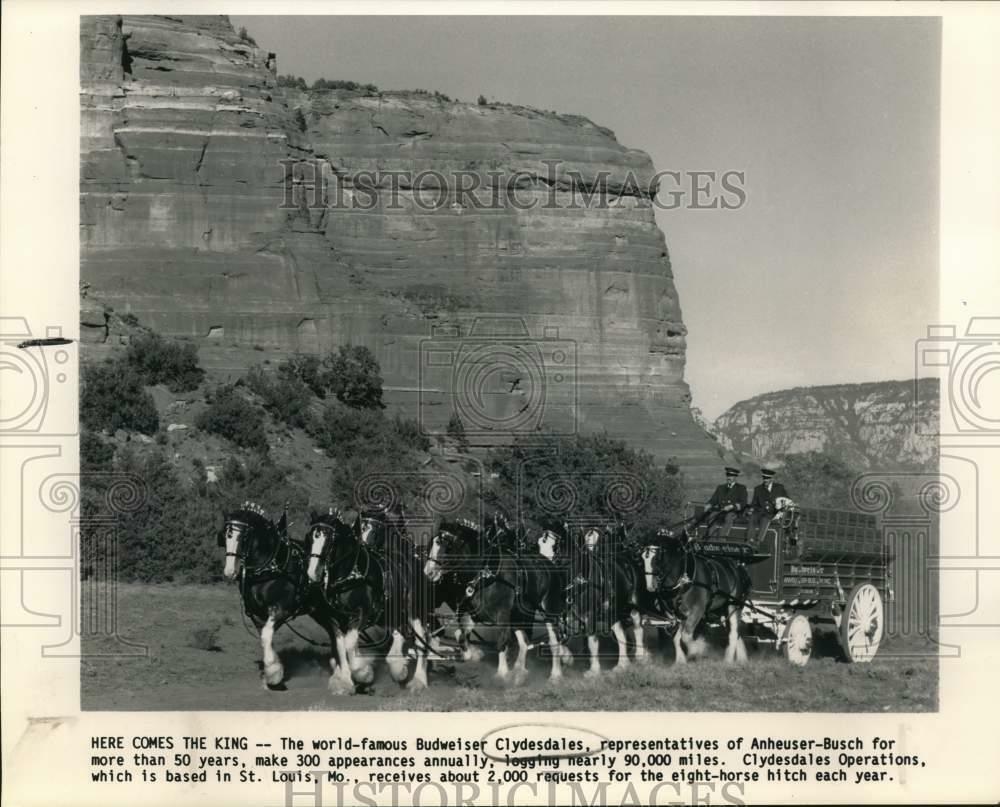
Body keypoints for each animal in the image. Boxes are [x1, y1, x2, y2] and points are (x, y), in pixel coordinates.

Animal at [220, 502, 306, 684]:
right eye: (224, 536)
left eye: (243, 537)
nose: (230, 572)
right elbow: (265, 637)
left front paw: (273, 672)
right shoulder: (257, 613)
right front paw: (273, 665)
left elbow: (267, 635)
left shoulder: (280, 609)